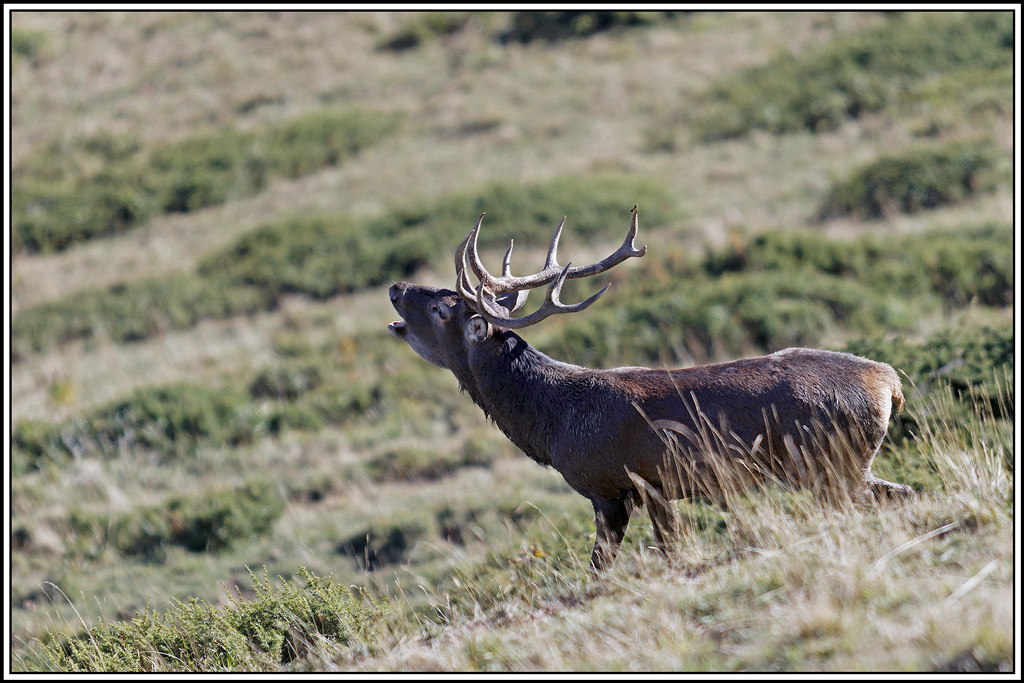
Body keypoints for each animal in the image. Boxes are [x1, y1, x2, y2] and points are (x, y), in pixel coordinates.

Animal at [387, 206, 912, 571]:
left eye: (441, 308)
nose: (395, 287)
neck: (553, 421)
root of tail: (889, 382)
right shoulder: (653, 488)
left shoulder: (621, 484)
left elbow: (608, 566)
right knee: (901, 492)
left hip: (830, 461)